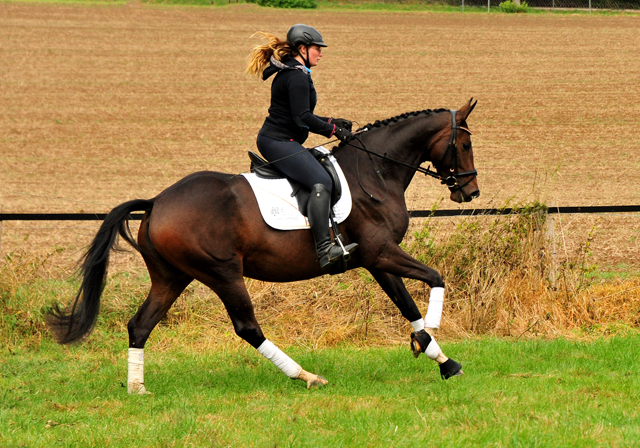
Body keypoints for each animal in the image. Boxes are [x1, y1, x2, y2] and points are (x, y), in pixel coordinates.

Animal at [48, 99, 480, 392]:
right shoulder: (381, 252)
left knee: (140, 325)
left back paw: (137, 388)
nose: (470, 192)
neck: (373, 173)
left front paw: (442, 359)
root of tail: (157, 202)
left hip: (172, 277)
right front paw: (431, 336)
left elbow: (407, 304)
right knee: (247, 327)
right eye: (464, 145)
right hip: (222, 273)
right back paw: (306, 376)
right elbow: (435, 278)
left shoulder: (376, 259)